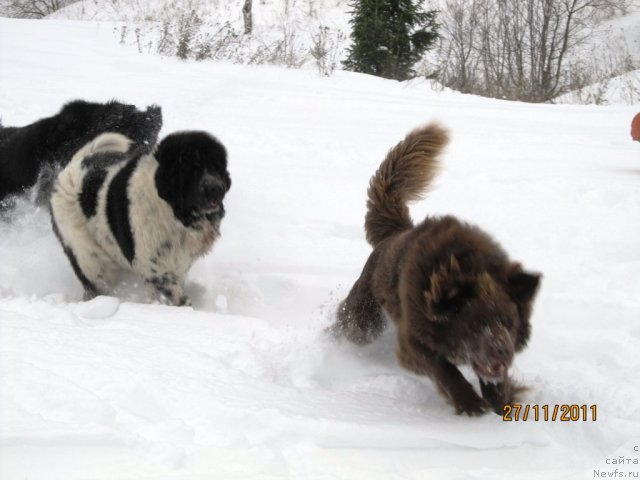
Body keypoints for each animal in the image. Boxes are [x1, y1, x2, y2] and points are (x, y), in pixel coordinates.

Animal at [50, 129, 230, 306]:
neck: (172, 210)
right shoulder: (155, 270)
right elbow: (177, 298)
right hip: (87, 257)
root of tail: (72, 166)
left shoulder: (178, 264)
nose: (216, 188)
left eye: (216, 167)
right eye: (191, 168)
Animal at [336, 124, 540, 416]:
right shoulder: (413, 338)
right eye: (475, 324)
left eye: (509, 323)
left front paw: (501, 402)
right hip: (364, 320)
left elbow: (494, 380)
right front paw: (469, 404)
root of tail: (396, 232)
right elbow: (445, 369)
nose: (503, 351)